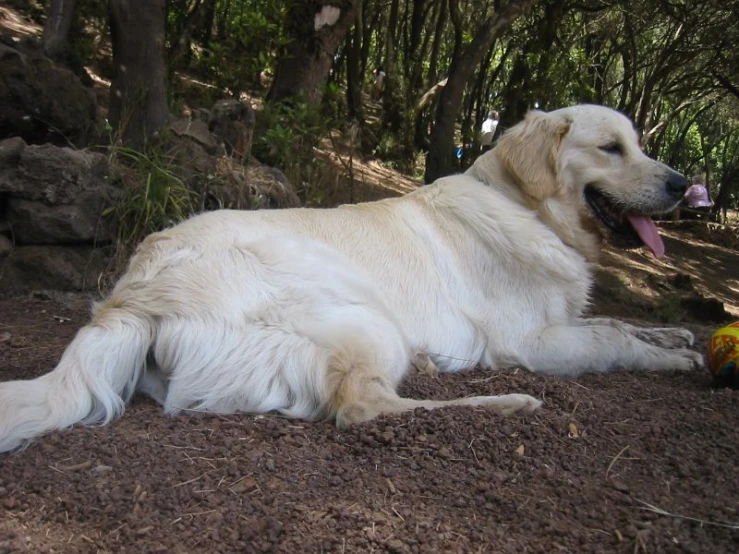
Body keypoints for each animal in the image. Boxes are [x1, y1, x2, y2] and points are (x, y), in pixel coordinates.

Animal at [0, 105, 704, 450]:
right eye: (611, 148)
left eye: (639, 143)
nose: (682, 185)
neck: (525, 207)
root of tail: (132, 298)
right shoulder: (532, 342)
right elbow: (611, 339)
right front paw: (672, 360)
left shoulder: (564, 320)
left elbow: (615, 322)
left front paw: (677, 340)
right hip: (363, 316)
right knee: (364, 409)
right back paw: (506, 404)